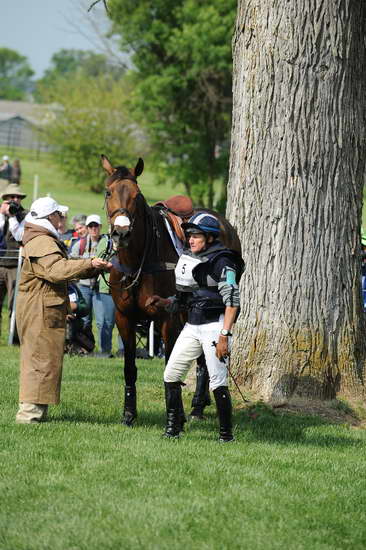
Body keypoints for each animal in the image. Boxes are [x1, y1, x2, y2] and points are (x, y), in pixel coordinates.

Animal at [101, 155, 242, 426]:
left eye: (136, 195)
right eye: (108, 192)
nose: (121, 232)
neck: (138, 261)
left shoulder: (167, 318)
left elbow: (170, 364)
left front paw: (175, 415)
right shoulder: (124, 318)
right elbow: (129, 368)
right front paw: (129, 413)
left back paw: (196, 406)